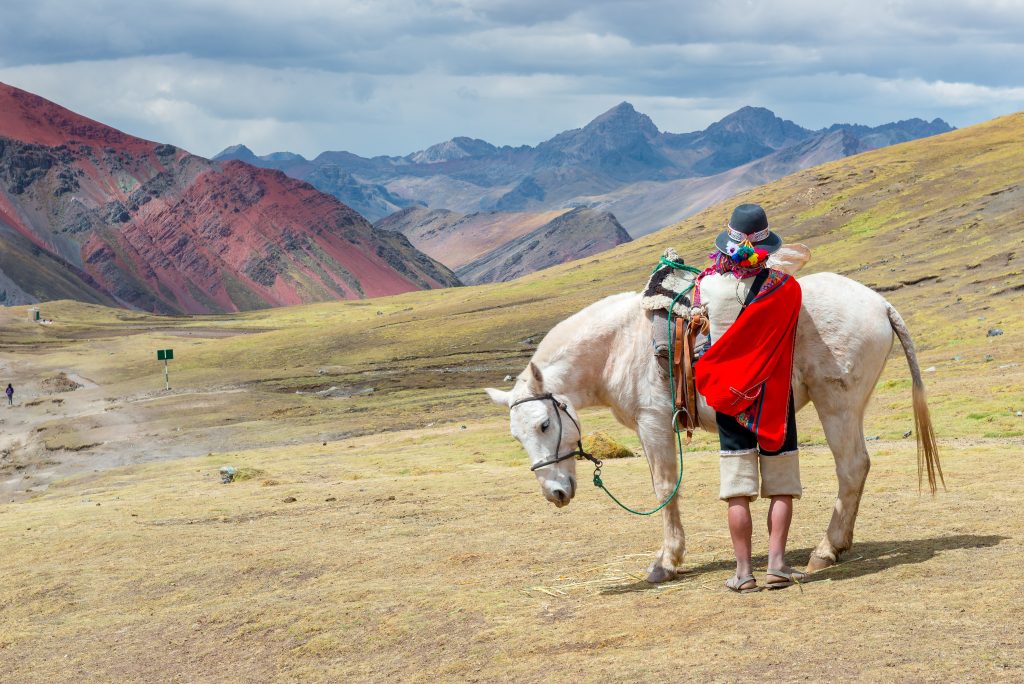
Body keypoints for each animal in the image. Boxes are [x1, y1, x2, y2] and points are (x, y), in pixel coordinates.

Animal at [483, 272, 937, 581]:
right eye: (517, 436)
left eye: (544, 424)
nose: (555, 493)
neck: (619, 346)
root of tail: (879, 304)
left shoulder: (653, 424)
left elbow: (665, 487)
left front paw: (666, 562)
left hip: (837, 404)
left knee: (852, 466)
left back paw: (825, 551)